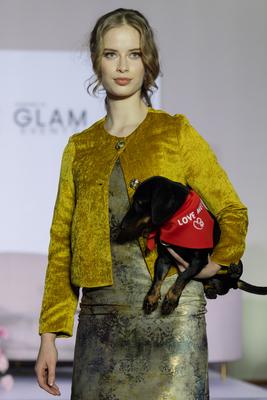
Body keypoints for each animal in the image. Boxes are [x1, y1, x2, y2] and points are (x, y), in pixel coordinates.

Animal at [116, 177, 267, 314]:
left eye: (139, 202)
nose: (121, 226)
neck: (176, 224)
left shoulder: (198, 261)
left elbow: (183, 276)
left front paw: (170, 300)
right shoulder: (164, 259)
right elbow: (157, 279)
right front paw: (151, 299)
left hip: (230, 267)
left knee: (232, 279)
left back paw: (234, 271)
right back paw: (210, 290)